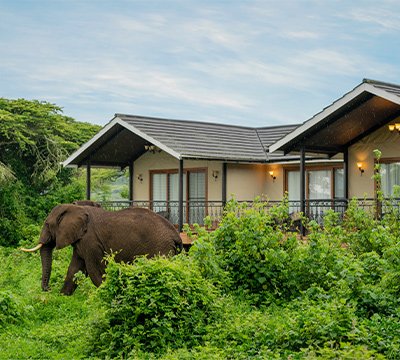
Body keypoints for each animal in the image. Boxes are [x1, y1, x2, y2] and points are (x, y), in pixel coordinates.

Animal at [22, 204, 182, 294]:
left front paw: (104, 295)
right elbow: (74, 269)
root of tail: (175, 234)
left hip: (160, 248)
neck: (75, 208)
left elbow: (94, 270)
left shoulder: (91, 241)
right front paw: (62, 296)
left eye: (47, 225)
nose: (48, 289)